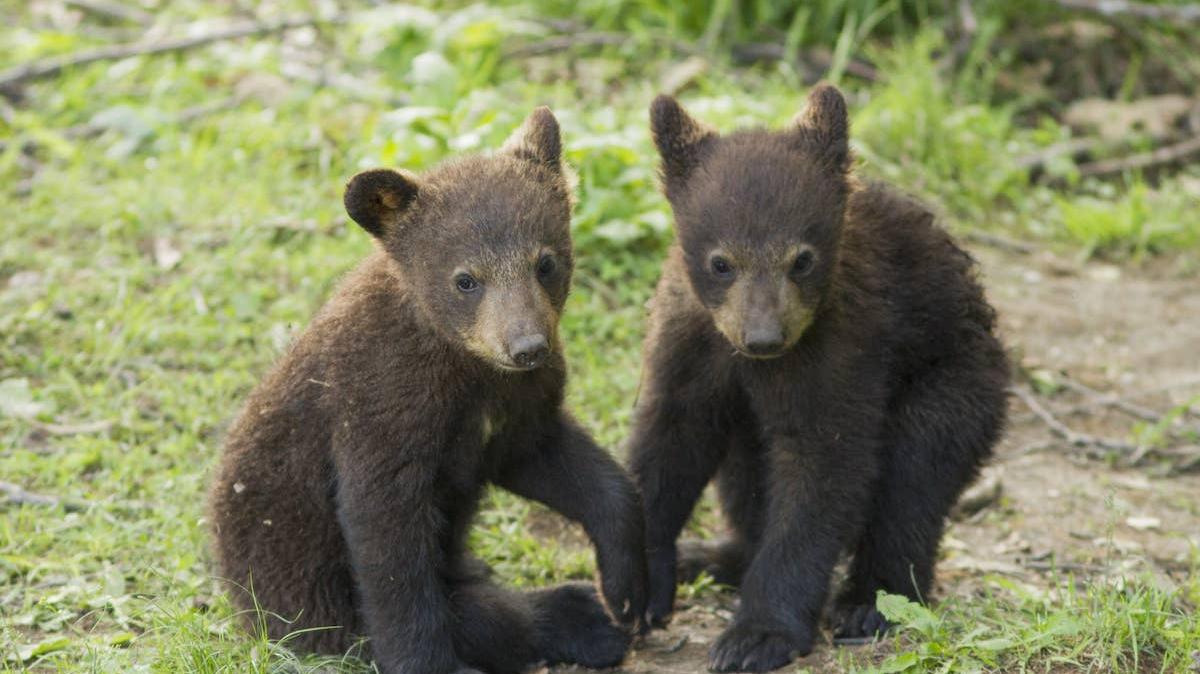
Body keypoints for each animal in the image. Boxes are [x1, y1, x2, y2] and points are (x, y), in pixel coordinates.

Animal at [208, 107, 647, 674]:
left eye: (544, 261)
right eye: (466, 279)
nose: (527, 347)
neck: (465, 366)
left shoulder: (514, 409)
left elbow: (559, 460)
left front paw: (628, 586)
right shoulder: (380, 407)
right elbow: (389, 546)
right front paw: (426, 658)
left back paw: (588, 615)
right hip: (307, 603)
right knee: (475, 614)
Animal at [626, 85, 1009, 672]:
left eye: (801, 259)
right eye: (721, 262)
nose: (764, 338)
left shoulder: (840, 347)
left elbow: (824, 465)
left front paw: (757, 634)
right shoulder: (688, 337)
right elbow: (669, 440)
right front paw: (640, 586)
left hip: (956, 380)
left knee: (914, 480)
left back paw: (871, 601)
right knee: (744, 473)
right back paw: (715, 555)